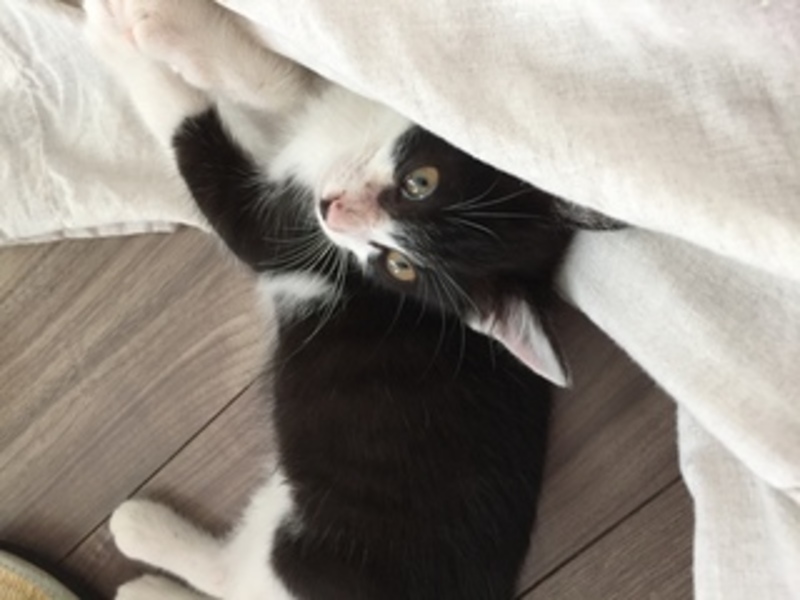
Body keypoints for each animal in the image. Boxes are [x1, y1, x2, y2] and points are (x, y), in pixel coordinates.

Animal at [83, 1, 617, 598]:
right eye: (420, 182)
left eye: (398, 266)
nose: (333, 212)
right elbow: (295, 90)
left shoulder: (288, 239)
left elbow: (214, 152)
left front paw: (129, 36)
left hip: (306, 551)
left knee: (230, 576)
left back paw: (140, 546)